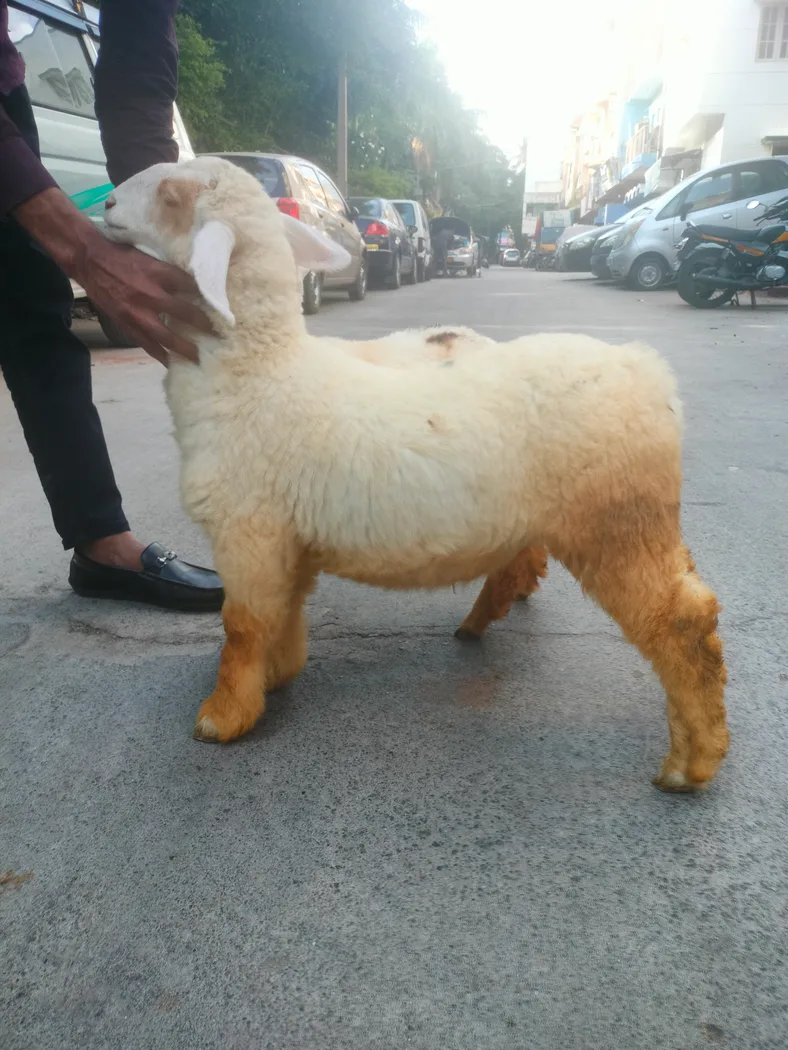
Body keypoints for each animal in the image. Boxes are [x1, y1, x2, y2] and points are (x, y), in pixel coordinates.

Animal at [102, 156, 729, 792]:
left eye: (171, 196)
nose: (104, 204)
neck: (260, 372)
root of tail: (646, 371)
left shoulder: (247, 532)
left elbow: (242, 627)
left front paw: (223, 716)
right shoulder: (286, 538)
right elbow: (284, 614)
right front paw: (277, 676)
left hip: (617, 522)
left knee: (683, 619)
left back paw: (691, 760)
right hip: (610, 519)